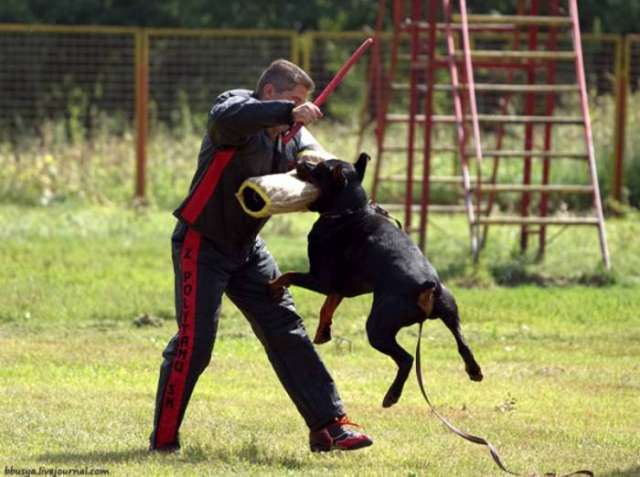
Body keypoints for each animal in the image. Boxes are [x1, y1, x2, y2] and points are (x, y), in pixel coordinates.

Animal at [268, 154, 482, 408]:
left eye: (318, 169)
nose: (300, 160)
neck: (350, 211)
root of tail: (427, 285)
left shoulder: (322, 279)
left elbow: (288, 275)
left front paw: (272, 286)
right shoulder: (341, 287)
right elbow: (327, 307)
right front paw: (323, 332)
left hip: (378, 328)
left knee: (407, 359)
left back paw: (392, 395)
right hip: (449, 309)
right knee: (462, 343)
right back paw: (474, 370)